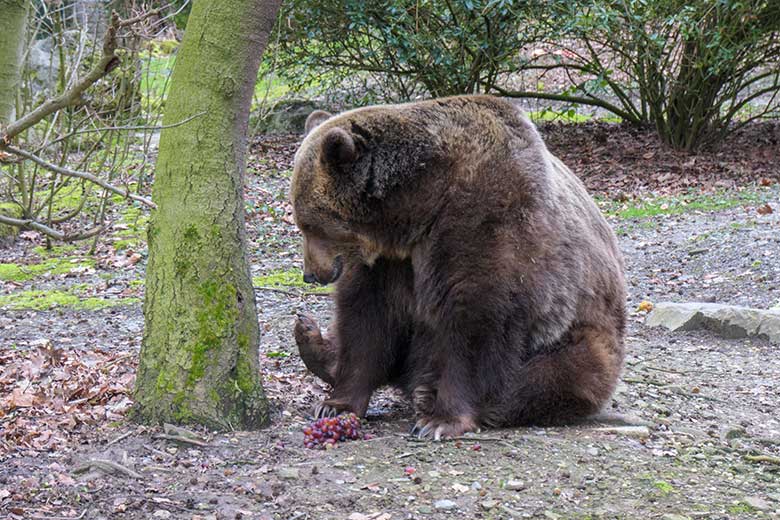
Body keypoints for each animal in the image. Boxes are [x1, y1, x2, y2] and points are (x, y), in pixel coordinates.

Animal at [290, 94, 624, 438]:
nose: (310, 274)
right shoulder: (391, 262)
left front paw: (440, 421)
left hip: (580, 331)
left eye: (310, 225)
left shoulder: (487, 221)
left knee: (555, 374)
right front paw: (335, 405)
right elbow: (368, 316)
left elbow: (476, 317)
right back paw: (310, 336)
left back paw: (430, 394)